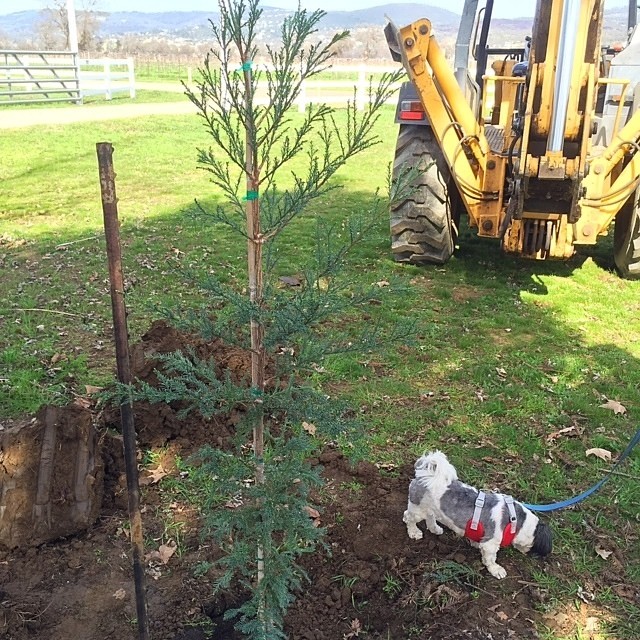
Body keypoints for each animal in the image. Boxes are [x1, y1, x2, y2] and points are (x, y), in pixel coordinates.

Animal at [404, 450, 552, 580]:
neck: (514, 519)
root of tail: (424, 474)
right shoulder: (490, 543)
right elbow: (490, 559)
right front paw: (496, 569)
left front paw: (474, 542)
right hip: (417, 508)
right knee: (408, 517)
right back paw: (414, 532)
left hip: (430, 507)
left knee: (430, 516)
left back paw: (434, 528)